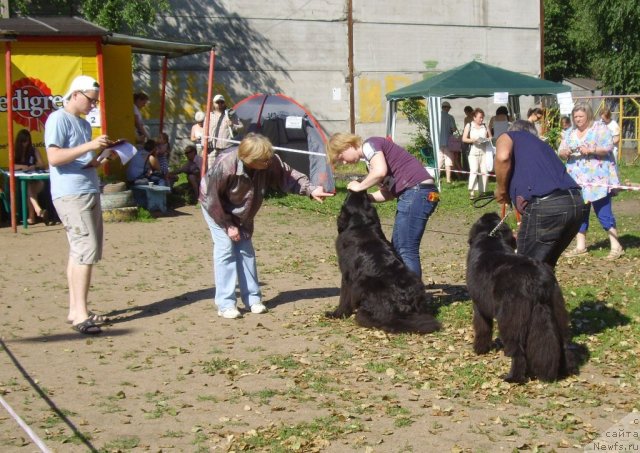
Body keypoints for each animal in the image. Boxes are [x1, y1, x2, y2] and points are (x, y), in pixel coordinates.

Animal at [324, 189, 440, 334]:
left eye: (346, 196)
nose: (356, 188)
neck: (361, 225)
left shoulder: (347, 277)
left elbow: (343, 298)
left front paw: (336, 314)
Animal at [464, 213, 576, 382]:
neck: (491, 237)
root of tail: (537, 281)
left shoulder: (479, 306)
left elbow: (483, 328)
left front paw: (479, 349)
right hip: (557, 309)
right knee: (562, 344)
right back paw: (562, 371)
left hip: (511, 319)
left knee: (518, 352)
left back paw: (512, 377)